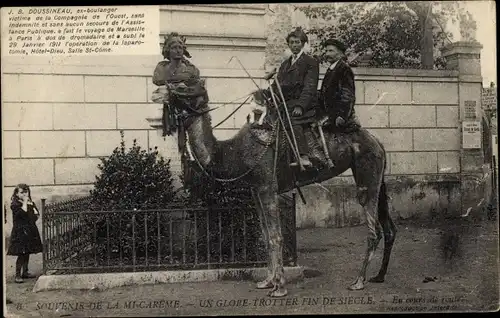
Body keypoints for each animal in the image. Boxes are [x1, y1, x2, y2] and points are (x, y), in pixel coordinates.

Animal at [166, 85, 396, 296]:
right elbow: (266, 235)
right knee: (388, 227)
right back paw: (378, 276)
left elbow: (276, 236)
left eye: (185, 89)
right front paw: (267, 281)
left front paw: (279, 287)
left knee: (373, 228)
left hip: (367, 174)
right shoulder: (256, 189)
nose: (167, 93)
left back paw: (358, 281)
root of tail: (377, 141)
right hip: (375, 176)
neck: (233, 152)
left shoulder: (268, 186)